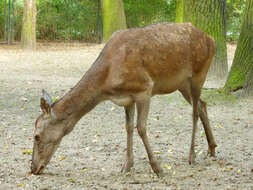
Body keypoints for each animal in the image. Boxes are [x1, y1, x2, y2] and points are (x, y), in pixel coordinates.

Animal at [30, 22, 217, 177]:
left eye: (36, 136)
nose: (33, 168)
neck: (107, 80)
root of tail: (211, 39)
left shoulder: (144, 88)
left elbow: (140, 127)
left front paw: (157, 168)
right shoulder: (128, 98)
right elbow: (128, 127)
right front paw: (126, 166)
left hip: (199, 74)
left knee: (194, 112)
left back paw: (192, 156)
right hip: (182, 83)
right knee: (202, 105)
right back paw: (212, 149)